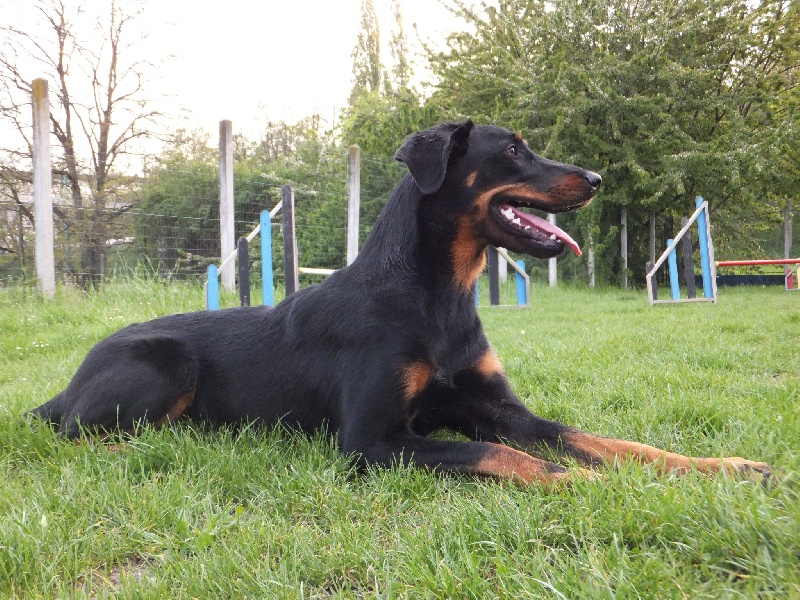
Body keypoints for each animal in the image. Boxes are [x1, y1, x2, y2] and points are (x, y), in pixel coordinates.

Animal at [29, 122, 768, 488]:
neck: (437, 297)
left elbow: (604, 441)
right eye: (513, 150)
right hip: (164, 362)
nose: (594, 178)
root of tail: (66, 383)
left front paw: (719, 469)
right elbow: (502, 456)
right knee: (83, 436)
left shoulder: (504, 411)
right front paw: (603, 489)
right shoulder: (373, 442)